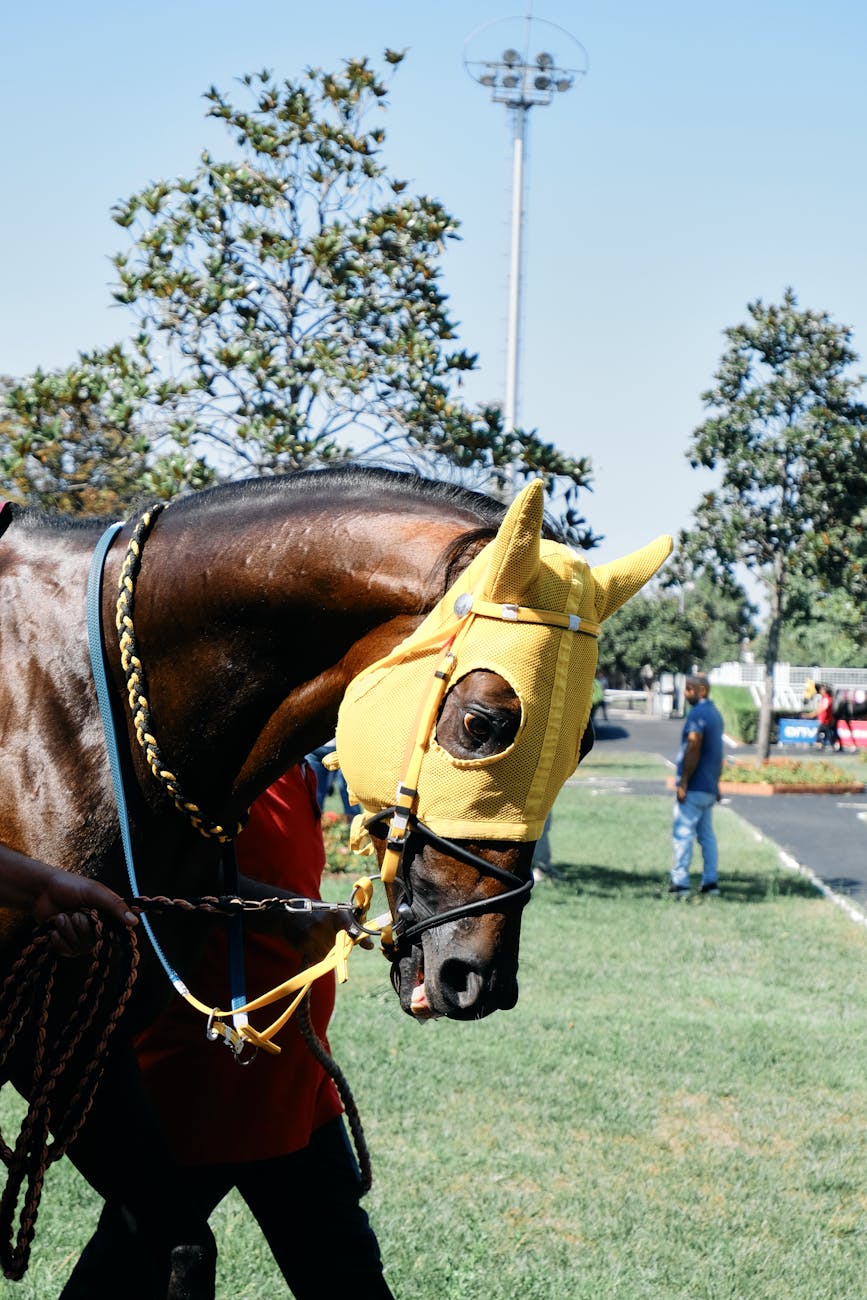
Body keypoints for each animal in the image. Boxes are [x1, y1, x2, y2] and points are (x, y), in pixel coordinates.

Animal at [0, 465, 670, 1295]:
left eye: (582, 744)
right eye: (482, 722)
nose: (475, 976)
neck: (91, 705)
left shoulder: (103, 1028)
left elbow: (182, 1240)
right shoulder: (50, 1035)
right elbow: (182, 1242)